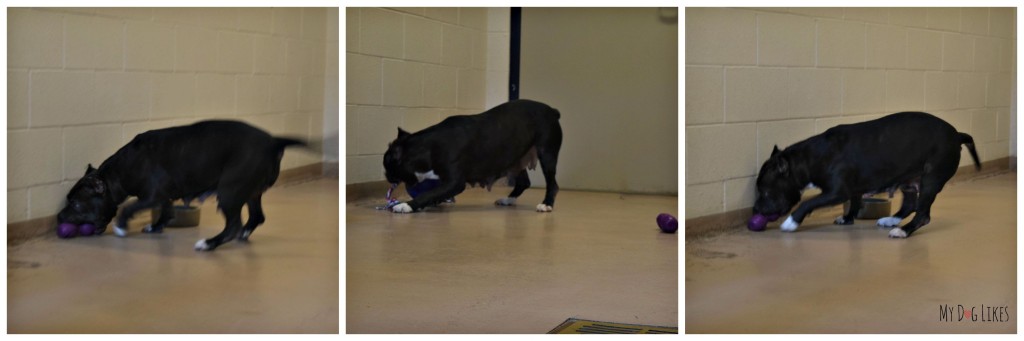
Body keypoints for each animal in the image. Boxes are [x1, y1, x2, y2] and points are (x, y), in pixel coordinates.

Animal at [57, 119, 303, 249]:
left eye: (76, 204)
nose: (59, 217)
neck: (116, 173)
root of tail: (273, 141)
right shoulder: (163, 197)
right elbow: (167, 212)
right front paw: (155, 226)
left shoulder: (151, 196)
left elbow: (129, 207)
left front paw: (121, 226)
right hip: (251, 192)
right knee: (256, 217)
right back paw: (243, 234)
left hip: (229, 192)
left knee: (232, 225)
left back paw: (209, 244)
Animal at [382, 96, 565, 212]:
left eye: (388, 165)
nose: (386, 175)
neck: (427, 147)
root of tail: (552, 111)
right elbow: (435, 193)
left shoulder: (455, 182)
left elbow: (429, 193)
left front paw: (407, 205)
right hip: (516, 159)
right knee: (523, 183)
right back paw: (508, 200)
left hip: (547, 154)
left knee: (552, 184)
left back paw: (546, 204)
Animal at [757, 111, 978, 236]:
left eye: (765, 192)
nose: (756, 209)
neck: (808, 158)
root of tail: (957, 135)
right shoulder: (853, 189)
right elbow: (855, 203)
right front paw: (847, 218)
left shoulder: (837, 192)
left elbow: (808, 202)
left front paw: (791, 222)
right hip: (908, 180)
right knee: (909, 204)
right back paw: (892, 220)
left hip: (930, 181)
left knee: (923, 215)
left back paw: (903, 230)